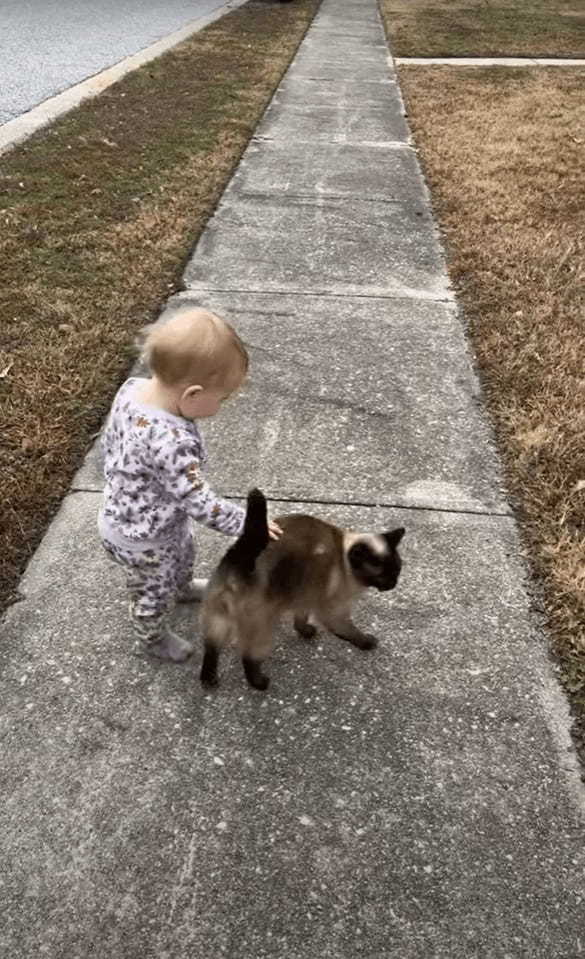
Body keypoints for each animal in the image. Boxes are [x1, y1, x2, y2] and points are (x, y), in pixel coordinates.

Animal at [198, 496, 404, 688]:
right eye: (383, 574)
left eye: (397, 570)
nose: (393, 584)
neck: (344, 560)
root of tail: (241, 558)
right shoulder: (334, 611)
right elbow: (350, 631)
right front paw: (367, 642)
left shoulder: (306, 594)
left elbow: (301, 619)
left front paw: (305, 631)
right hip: (262, 627)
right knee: (248, 656)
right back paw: (260, 683)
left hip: (219, 618)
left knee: (211, 648)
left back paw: (209, 679)